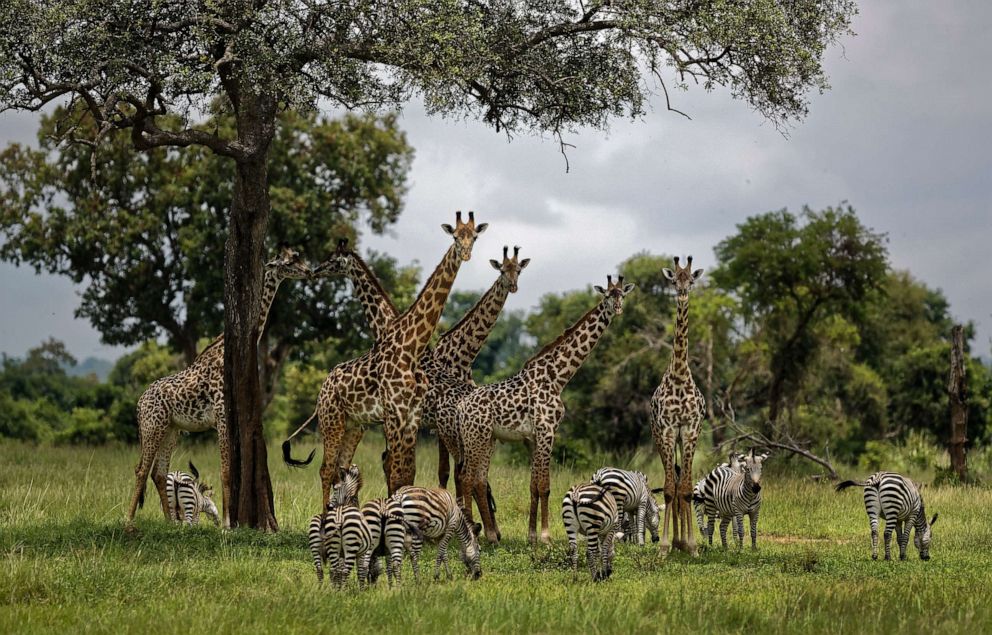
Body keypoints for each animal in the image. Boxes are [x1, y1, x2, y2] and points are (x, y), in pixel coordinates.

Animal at [125, 247, 310, 528]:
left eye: (298, 256)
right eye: (288, 262)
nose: (309, 271)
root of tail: (139, 402)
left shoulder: (226, 420)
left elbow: (229, 470)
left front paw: (228, 522)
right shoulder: (221, 417)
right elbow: (225, 471)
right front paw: (226, 524)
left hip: (171, 429)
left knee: (159, 471)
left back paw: (170, 522)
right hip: (152, 426)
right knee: (141, 469)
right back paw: (128, 520)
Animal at [282, 214, 488, 506]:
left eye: (474, 237)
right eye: (456, 236)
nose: (315, 270)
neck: (409, 344)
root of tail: (323, 387)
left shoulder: (408, 417)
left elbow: (404, 473)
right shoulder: (394, 416)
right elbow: (396, 472)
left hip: (358, 425)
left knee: (340, 468)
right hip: (334, 420)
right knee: (328, 468)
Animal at [454, 276, 632, 544]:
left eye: (622, 294)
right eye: (607, 296)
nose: (619, 309)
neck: (558, 377)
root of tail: (461, 406)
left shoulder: (533, 437)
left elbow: (534, 485)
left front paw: (532, 536)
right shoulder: (547, 430)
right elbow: (545, 486)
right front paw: (546, 537)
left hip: (487, 439)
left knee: (478, 480)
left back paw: (492, 536)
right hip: (476, 437)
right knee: (466, 478)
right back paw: (474, 531)